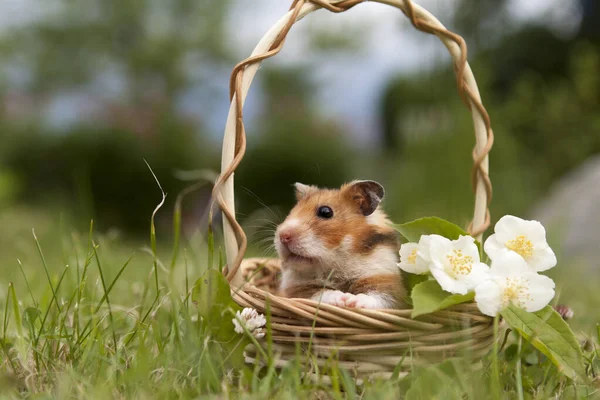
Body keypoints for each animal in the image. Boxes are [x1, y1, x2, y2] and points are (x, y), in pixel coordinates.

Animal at [276, 180, 406, 310]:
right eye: (291, 212)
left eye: (325, 212)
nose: (283, 236)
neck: (338, 262)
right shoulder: (298, 289)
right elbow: (321, 294)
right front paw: (342, 299)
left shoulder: (384, 280)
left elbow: (377, 297)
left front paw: (352, 301)